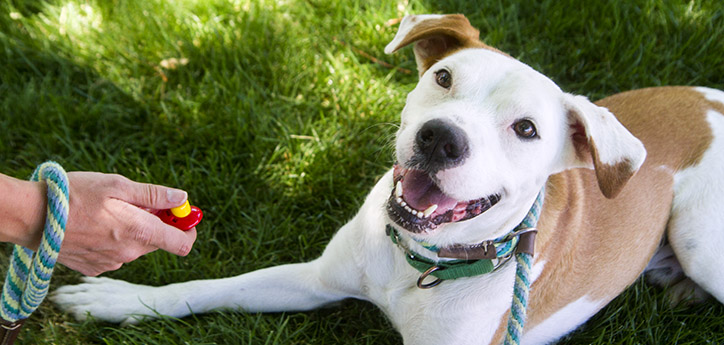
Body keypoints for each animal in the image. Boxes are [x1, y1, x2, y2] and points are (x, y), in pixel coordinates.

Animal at [51, 14, 724, 344]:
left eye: (527, 129)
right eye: (444, 77)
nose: (441, 138)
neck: (421, 263)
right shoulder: (312, 279)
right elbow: (211, 287)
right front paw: (122, 299)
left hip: (699, 238)